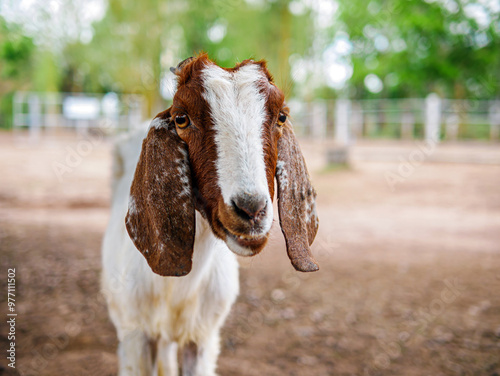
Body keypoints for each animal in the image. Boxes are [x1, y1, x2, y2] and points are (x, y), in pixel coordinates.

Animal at [101, 53, 318, 376]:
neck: (178, 289)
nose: (251, 209)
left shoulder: (203, 337)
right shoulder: (135, 334)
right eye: (181, 118)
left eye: (281, 116)